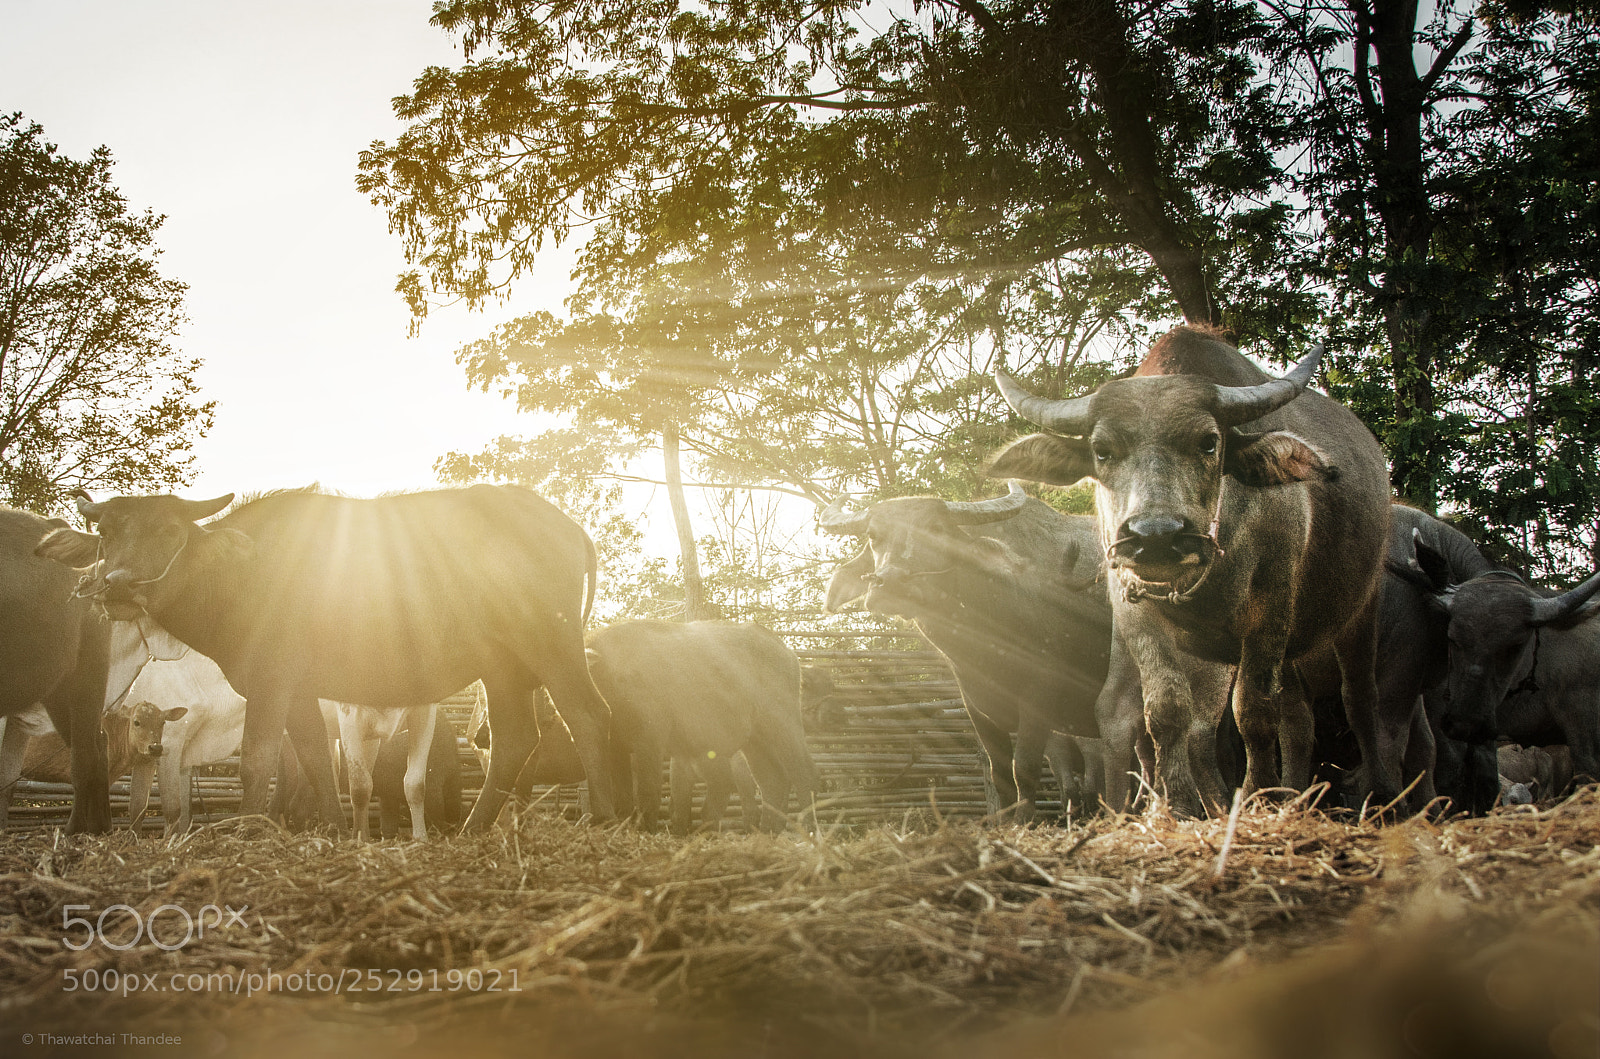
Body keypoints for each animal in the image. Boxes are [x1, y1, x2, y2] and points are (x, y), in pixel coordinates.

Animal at [35, 485, 615, 831]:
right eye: (107, 532)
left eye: (168, 530)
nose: (118, 585)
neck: (240, 574)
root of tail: (568, 527)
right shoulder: (299, 691)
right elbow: (316, 762)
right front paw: (336, 832)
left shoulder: (271, 681)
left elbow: (257, 762)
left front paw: (248, 832)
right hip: (503, 669)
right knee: (516, 741)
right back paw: (472, 831)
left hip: (552, 646)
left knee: (591, 719)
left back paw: (612, 819)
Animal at [821, 481, 1112, 821]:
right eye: (872, 535)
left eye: (936, 528)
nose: (891, 584)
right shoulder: (978, 709)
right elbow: (1000, 774)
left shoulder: (1040, 699)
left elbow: (1025, 769)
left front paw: (1025, 822)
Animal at [989, 325, 1394, 815]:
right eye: (1102, 451)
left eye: (1209, 442)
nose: (1155, 535)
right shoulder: (1133, 608)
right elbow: (1166, 709)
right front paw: (1178, 805)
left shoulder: (1272, 606)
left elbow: (1254, 711)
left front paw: (1256, 797)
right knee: (1296, 716)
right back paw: (1292, 797)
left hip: (1362, 607)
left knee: (1359, 698)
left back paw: (1377, 793)